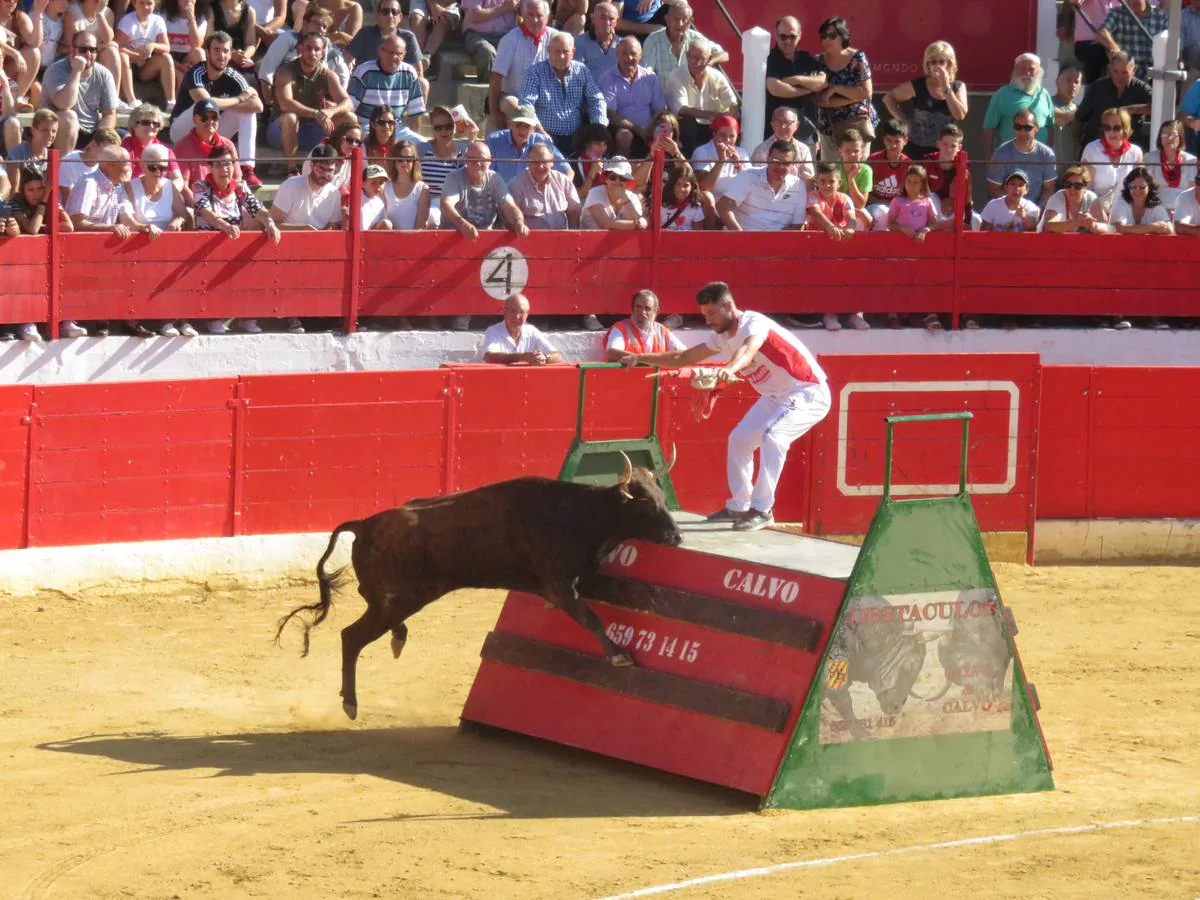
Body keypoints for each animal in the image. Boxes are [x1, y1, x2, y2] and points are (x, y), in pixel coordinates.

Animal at [274, 453, 681, 724]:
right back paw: (351, 703)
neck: (579, 514)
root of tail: (365, 523)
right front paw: (619, 656)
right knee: (352, 637)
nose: (675, 537)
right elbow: (590, 617)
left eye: (663, 498)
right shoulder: (558, 586)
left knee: (366, 613)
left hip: (396, 598)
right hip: (397, 599)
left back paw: (395, 642)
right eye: (645, 503)